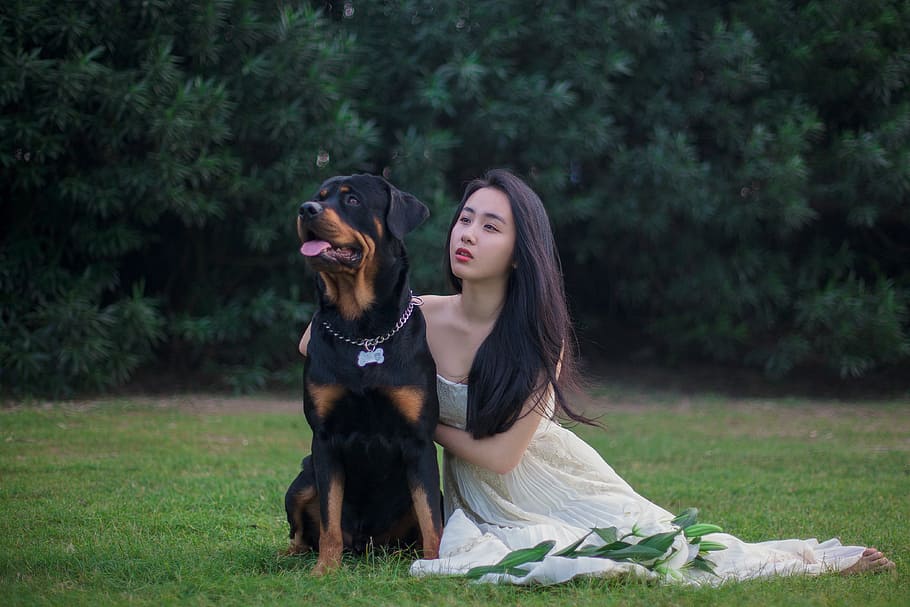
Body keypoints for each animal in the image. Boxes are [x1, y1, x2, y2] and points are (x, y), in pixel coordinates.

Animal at [284, 175, 444, 576]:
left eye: (352, 200)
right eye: (319, 197)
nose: (305, 209)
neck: (361, 330)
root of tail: (364, 545)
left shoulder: (418, 441)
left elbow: (432, 519)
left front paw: (436, 565)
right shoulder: (324, 439)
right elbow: (329, 518)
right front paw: (325, 569)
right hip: (301, 480)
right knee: (301, 532)